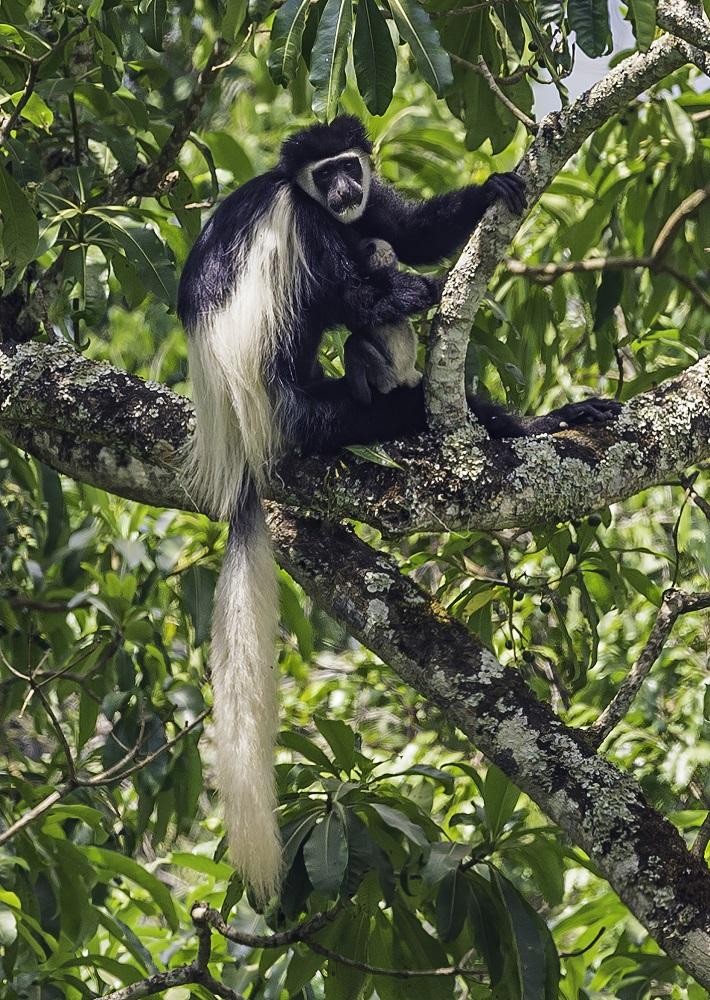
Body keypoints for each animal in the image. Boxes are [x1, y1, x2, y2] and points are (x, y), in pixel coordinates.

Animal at [177, 115, 620, 902]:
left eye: (349, 166)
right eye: (324, 175)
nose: (343, 190)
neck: (305, 194)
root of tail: (244, 446)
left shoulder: (365, 202)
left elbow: (406, 229)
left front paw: (492, 189)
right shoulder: (302, 222)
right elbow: (347, 284)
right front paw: (415, 293)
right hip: (299, 406)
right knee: (350, 329)